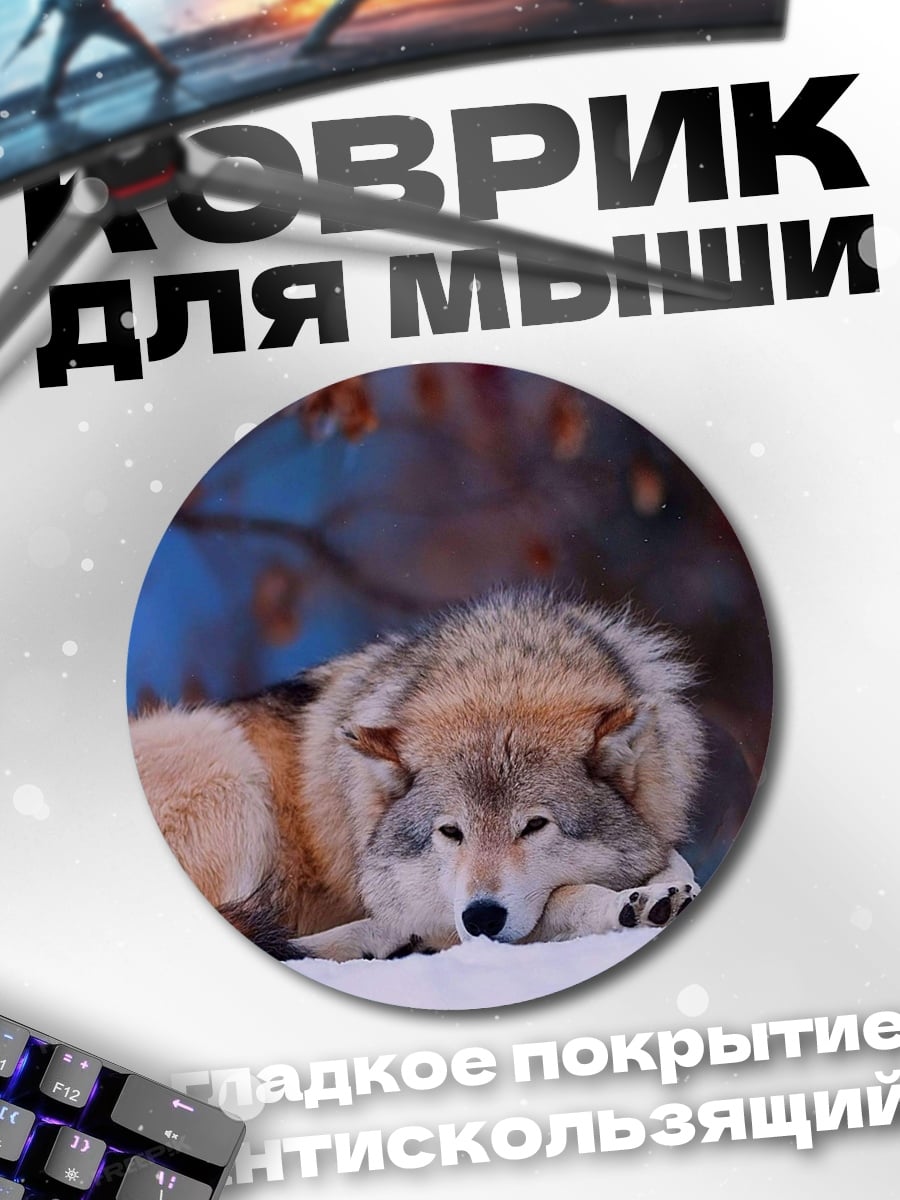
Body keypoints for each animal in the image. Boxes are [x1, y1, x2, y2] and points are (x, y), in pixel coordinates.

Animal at [130, 589, 706, 961]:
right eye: (450, 832)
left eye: (534, 826)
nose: (481, 917)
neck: (502, 676)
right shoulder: (445, 910)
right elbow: (564, 899)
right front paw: (632, 905)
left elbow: (673, 858)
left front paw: (667, 888)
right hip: (226, 764)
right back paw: (380, 940)